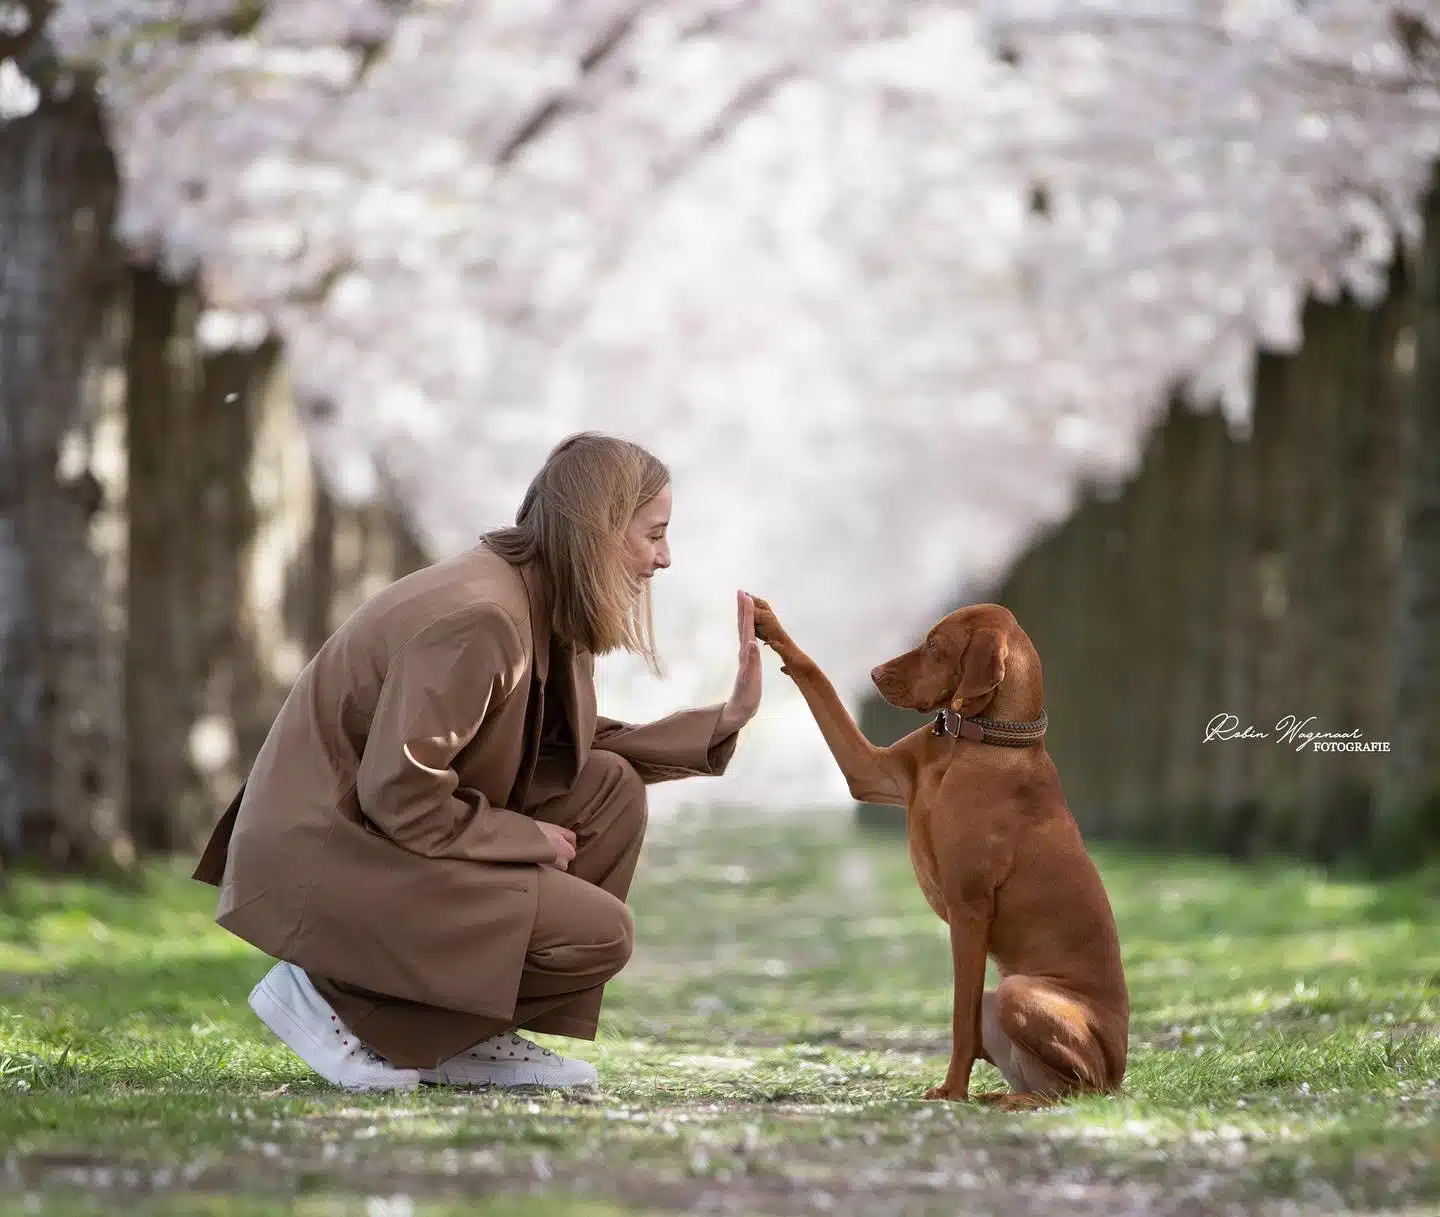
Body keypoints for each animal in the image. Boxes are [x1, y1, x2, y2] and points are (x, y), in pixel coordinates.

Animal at [748, 593, 1128, 1106]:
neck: (976, 741)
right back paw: (1002, 1096)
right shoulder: (868, 771)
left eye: (933, 645)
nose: (874, 673)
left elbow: (959, 1019)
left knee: (1080, 1088)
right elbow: (815, 676)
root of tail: (1121, 1074)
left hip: (1021, 994)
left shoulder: (969, 910)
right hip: (1002, 998)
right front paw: (767, 623)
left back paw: (1017, 1099)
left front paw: (952, 1090)